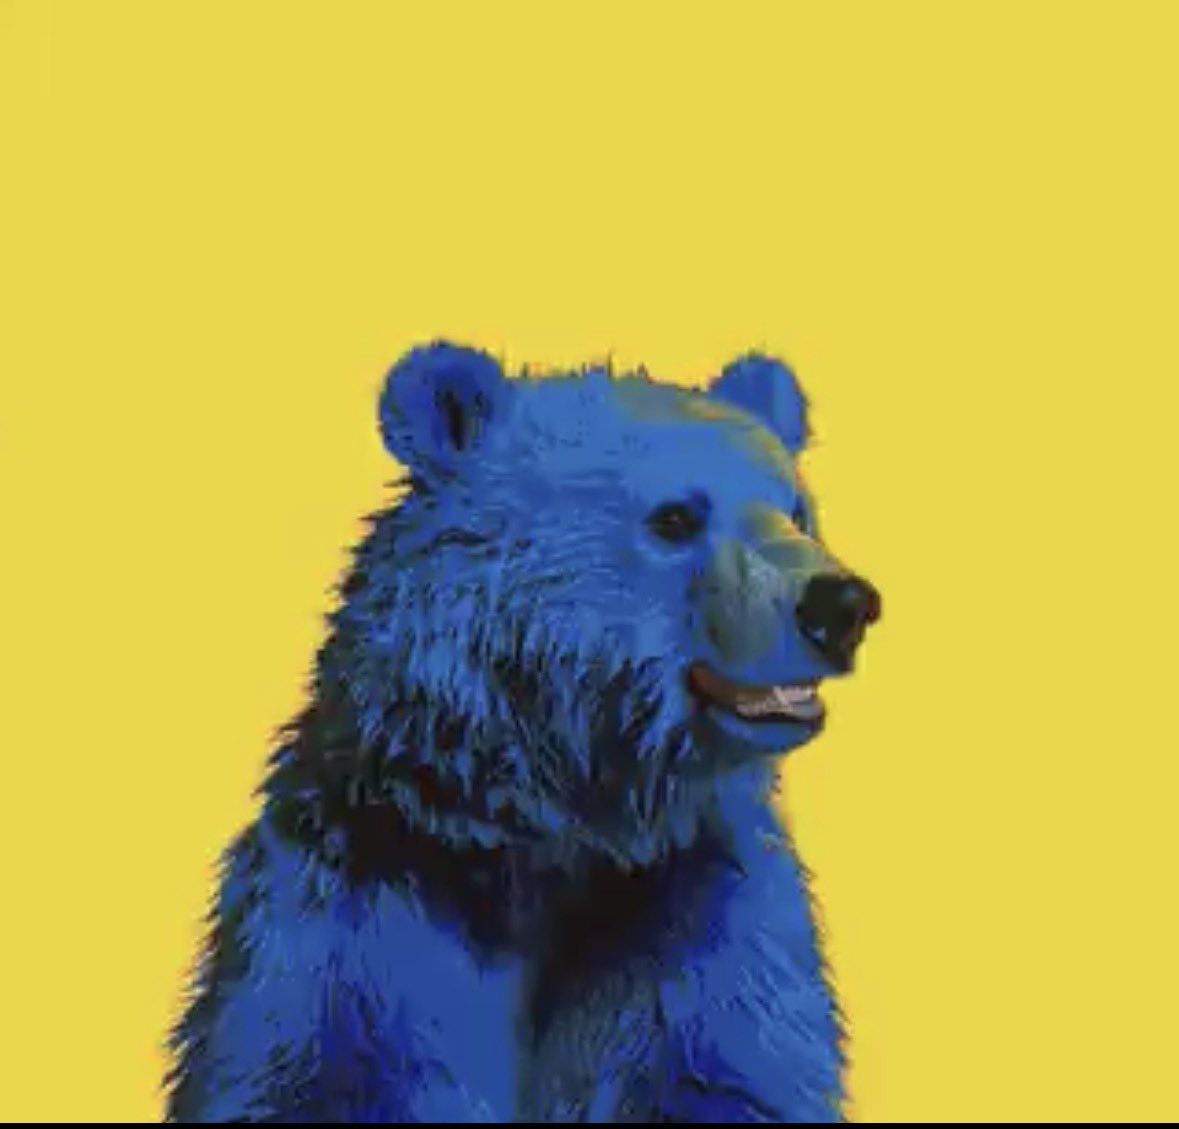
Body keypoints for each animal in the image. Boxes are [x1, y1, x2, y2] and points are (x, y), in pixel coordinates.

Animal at [164, 340, 881, 1123]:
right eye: (674, 518)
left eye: (797, 509)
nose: (842, 605)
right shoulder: (361, 898)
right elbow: (316, 1072)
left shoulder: (691, 913)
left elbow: (733, 1067)